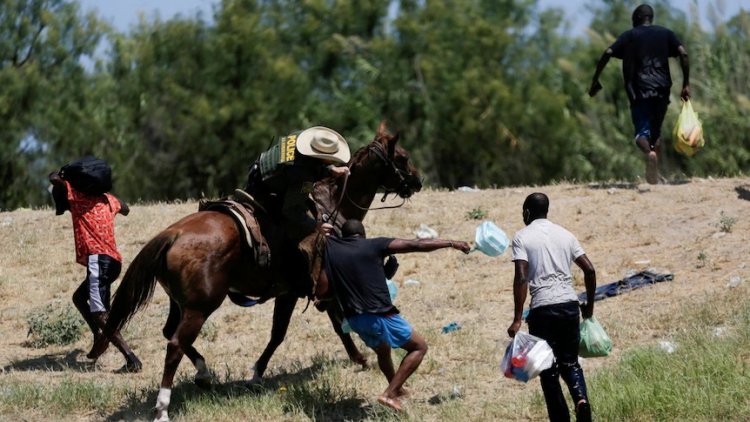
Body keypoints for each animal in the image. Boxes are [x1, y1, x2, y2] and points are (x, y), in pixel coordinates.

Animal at [89, 121, 424, 418]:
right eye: (402, 157)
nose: (418, 181)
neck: (332, 206)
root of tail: (173, 234)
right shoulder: (300, 290)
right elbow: (287, 332)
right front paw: (258, 372)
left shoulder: (303, 289)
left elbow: (326, 325)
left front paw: (357, 358)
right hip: (200, 307)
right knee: (174, 346)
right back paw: (163, 408)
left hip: (179, 302)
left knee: (170, 333)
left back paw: (203, 374)